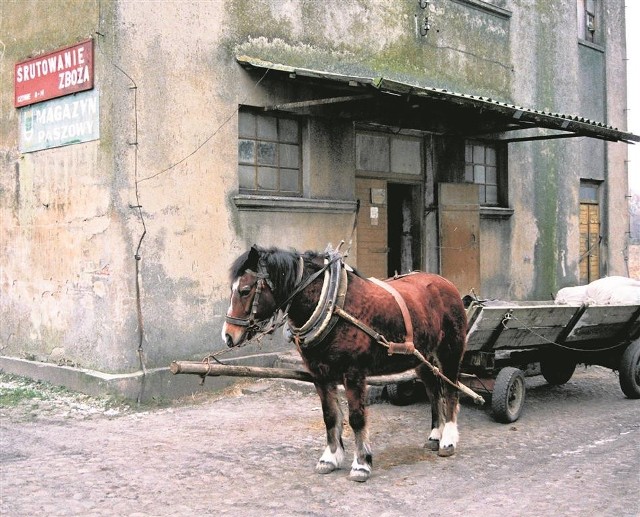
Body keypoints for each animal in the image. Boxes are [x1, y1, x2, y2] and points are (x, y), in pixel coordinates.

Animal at [222, 244, 468, 482]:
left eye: (245, 290)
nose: (228, 336)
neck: (333, 304)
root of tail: (447, 284)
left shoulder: (354, 373)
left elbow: (357, 418)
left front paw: (361, 464)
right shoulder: (320, 374)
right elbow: (330, 416)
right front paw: (330, 458)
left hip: (450, 352)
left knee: (450, 391)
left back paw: (448, 440)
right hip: (422, 358)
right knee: (434, 391)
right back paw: (435, 435)